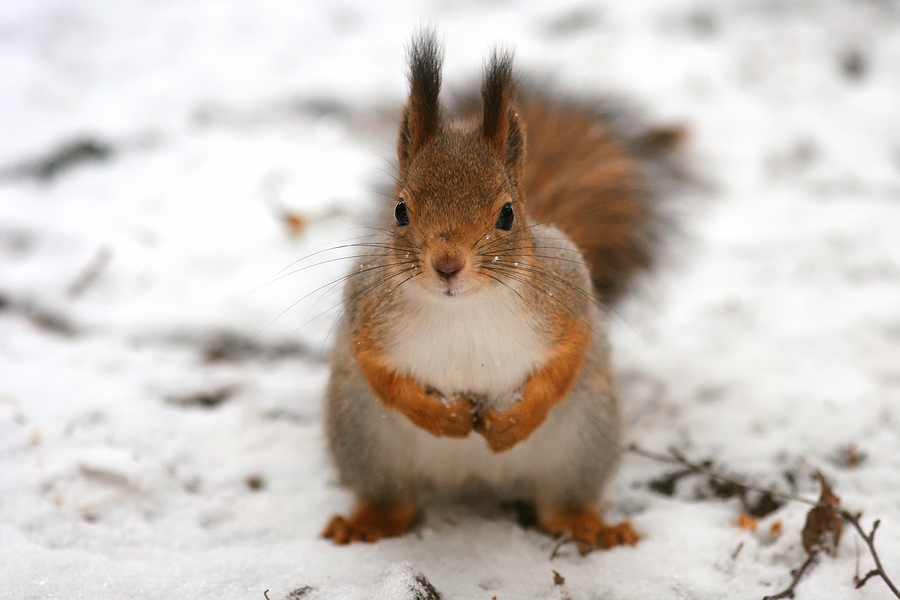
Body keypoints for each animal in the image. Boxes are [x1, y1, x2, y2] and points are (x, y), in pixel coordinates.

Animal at [321, 32, 681, 554]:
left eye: (507, 214)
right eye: (400, 210)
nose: (447, 265)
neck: (464, 307)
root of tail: (472, 480)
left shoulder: (569, 293)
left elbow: (571, 354)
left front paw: (515, 420)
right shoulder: (365, 303)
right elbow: (375, 368)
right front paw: (440, 417)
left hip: (583, 441)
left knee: (559, 505)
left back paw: (589, 525)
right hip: (364, 440)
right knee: (392, 498)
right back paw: (371, 520)